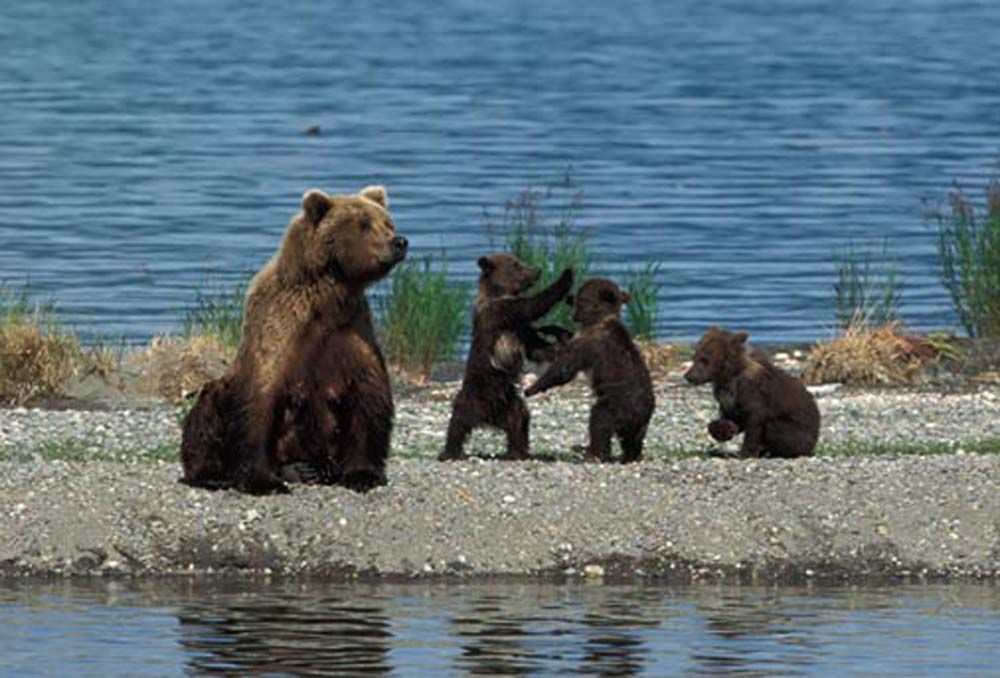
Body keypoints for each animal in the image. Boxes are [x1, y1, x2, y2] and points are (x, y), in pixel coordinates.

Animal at [180, 185, 408, 494]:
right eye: (363, 225)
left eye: (388, 222)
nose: (399, 242)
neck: (331, 299)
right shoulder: (280, 332)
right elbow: (260, 402)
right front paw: (263, 481)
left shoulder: (353, 334)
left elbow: (368, 397)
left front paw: (363, 474)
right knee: (207, 408)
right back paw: (217, 474)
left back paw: (313, 469)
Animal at [438, 254, 574, 461]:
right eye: (517, 265)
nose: (537, 270)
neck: (499, 294)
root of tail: (488, 418)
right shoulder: (501, 313)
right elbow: (533, 305)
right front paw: (566, 275)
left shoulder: (520, 329)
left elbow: (537, 348)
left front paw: (561, 343)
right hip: (475, 396)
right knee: (458, 422)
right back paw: (450, 452)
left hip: (509, 402)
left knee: (519, 420)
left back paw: (518, 451)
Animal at [524, 278, 655, 463]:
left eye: (580, 298)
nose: (569, 298)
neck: (599, 320)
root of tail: (643, 412)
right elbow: (565, 344)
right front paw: (550, 328)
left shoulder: (592, 344)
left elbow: (565, 368)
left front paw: (532, 388)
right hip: (638, 422)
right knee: (632, 439)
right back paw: (631, 455)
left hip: (617, 403)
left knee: (599, 420)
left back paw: (591, 452)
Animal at [683, 326, 820, 458]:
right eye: (695, 357)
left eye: (704, 359)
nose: (689, 376)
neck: (729, 375)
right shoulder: (727, 397)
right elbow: (731, 418)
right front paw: (723, 430)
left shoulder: (753, 393)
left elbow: (755, 422)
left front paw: (745, 453)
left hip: (797, 432)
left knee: (775, 429)